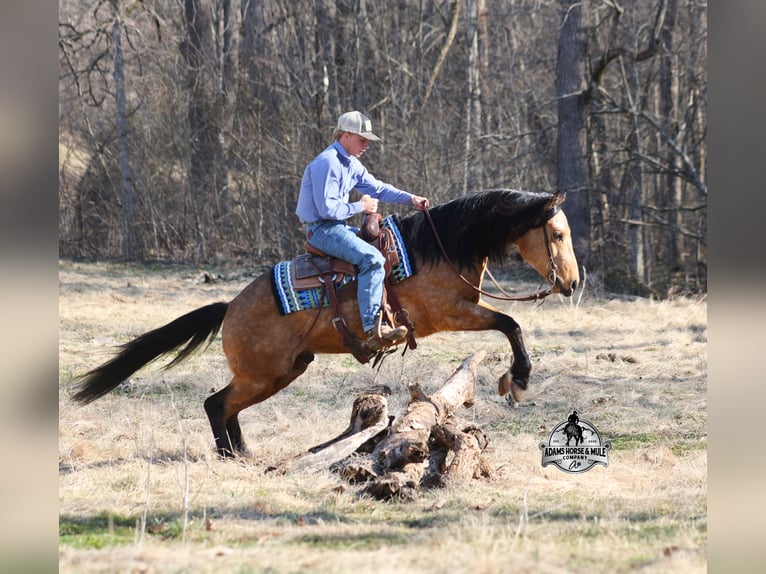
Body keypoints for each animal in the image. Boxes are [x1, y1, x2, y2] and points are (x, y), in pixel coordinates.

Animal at [72, 189, 580, 457]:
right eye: (556, 234)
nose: (573, 283)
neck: (436, 249)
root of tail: (230, 306)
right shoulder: (450, 314)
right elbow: (511, 323)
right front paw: (518, 380)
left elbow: (510, 324)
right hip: (264, 373)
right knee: (216, 404)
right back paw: (233, 455)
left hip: (281, 371)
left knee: (224, 405)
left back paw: (241, 454)